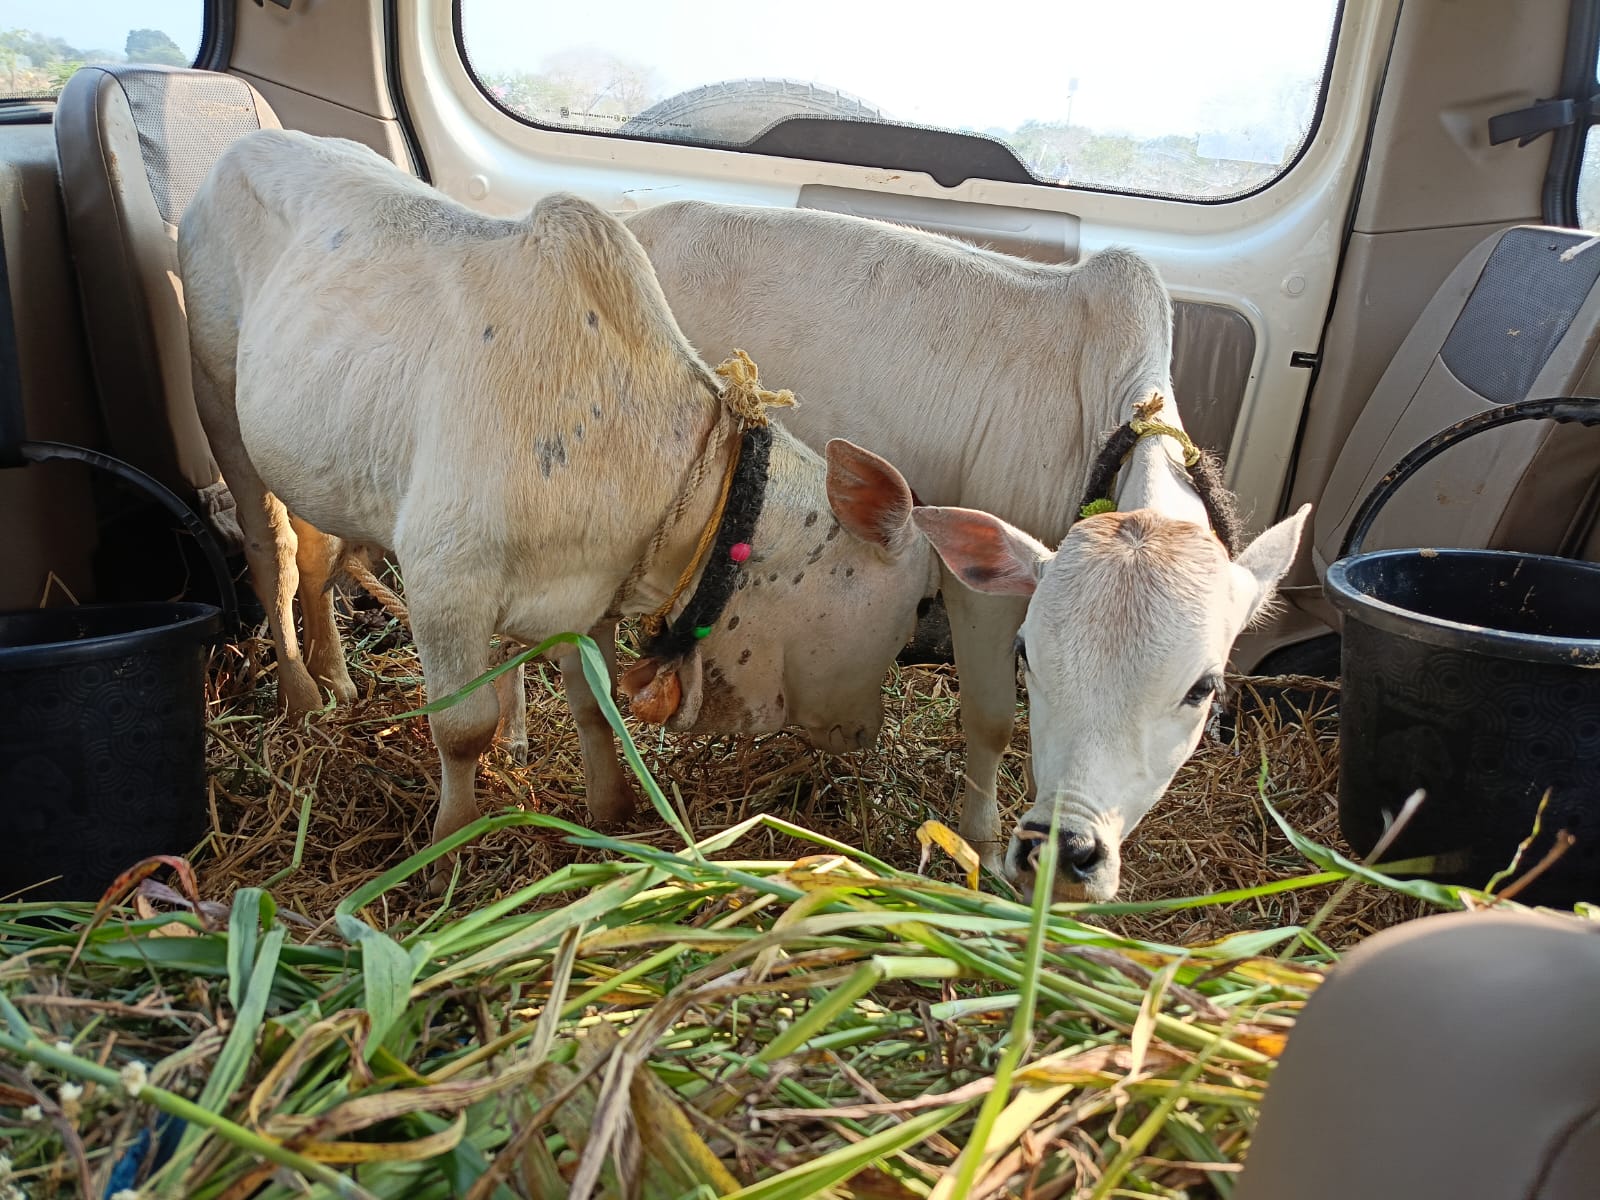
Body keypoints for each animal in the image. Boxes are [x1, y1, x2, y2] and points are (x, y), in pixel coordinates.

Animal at [181, 133, 934, 883]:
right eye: (909, 616)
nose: (864, 731)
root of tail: (246, 146)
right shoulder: (444, 582)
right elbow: (462, 728)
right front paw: (450, 844)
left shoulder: (592, 592)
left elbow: (596, 706)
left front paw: (611, 811)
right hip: (217, 393)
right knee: (272, 553)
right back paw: (301, 695)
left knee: (316, 556)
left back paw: (336, 677)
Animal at [617, 204, 1305, 902]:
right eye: (1029, 656)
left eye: (1203, 689)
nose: (1066, 853)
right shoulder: (982, 593)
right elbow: (993, 716)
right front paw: (984, 844)